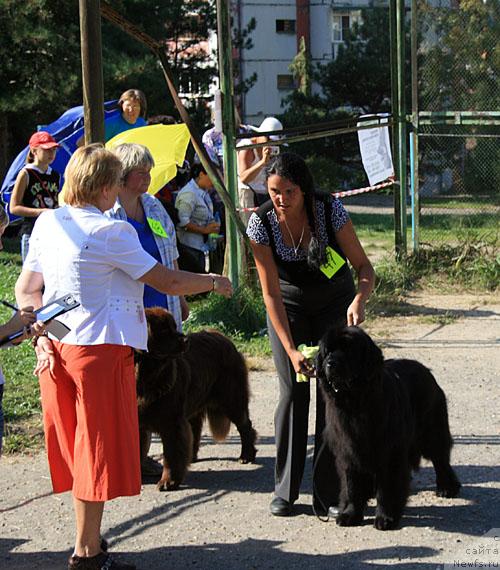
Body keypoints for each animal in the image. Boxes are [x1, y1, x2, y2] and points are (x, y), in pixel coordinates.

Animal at [135, 306, 256, 488]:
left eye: (174, 326)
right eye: (164, 330)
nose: (186, 340)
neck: (148, 374)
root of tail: (223, 337)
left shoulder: (172, 421)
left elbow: (171, 452)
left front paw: (168, 481)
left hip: (232, 398)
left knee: (245, 425)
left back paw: (246, 456)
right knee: (194, 428)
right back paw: (190, 458)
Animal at [316, 324, 460, 528]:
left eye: (348, 350)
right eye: (327, 351)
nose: (331, 363)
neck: (356, 404)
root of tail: (425, 370)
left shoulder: (390, 452)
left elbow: (388, 487)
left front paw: (386, 518)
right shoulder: (347, 451)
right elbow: (351, 485)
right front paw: (350, 514)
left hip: (431, 431)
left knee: (441, 458)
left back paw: (447, 488)